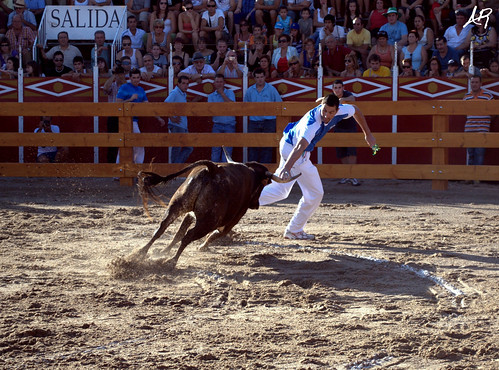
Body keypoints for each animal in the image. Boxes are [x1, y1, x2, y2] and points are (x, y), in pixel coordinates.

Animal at [131, 158, 298, 268]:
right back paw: (171, 261)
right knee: (188, 236)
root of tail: (213, 169)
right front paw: (202, 247)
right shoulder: (230, 222)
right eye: (263, 184)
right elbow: (216, 234)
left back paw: (140, 252)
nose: (256, 205)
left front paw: (163, 251)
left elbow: (177, 234)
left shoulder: (190, 214)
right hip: (208, 222)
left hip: (177, 205)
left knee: (161, 228)